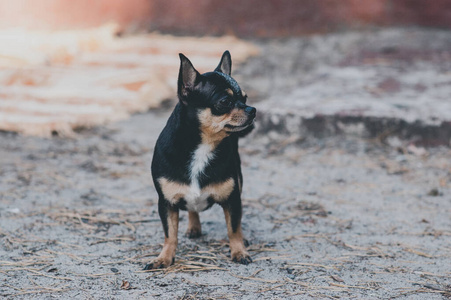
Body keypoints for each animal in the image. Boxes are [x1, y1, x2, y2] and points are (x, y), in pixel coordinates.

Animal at [146, 49, 258, 270]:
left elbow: (233, 228)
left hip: (239, 182)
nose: (252, 110)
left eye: (245, 97)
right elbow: (170, 234)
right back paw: (193, 226)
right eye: (225, 102)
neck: (204, 146)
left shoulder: (233, 199)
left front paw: (239, 251)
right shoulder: (166, 204)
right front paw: (164, 258)